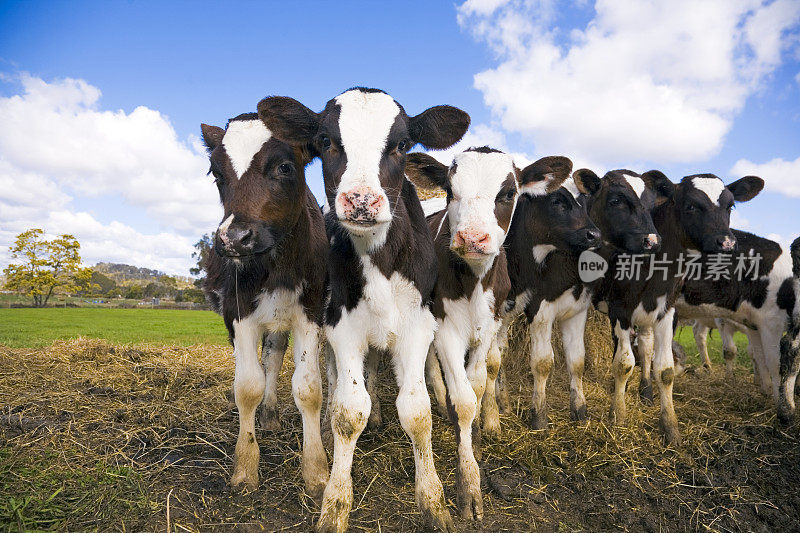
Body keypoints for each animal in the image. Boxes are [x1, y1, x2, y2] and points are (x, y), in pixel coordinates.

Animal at [202, 113, 330, 498]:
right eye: (216, 172)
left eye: (284, 167)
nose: (234, 239)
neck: (277, 266)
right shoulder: (237, 313)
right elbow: (247, 387)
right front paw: (245, 467)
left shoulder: (310, 313)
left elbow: (309, 389)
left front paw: (316, 470)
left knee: (273, 357)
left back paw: (271, 415)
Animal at [258, 88, 468, 532]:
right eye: (325, 141)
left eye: (402, 144)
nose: (360, 201)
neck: (379, 259)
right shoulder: (342, 326)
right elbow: (347, 411)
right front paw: (335, 502)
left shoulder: (417, 325)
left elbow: (417, 411)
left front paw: (432, 501)